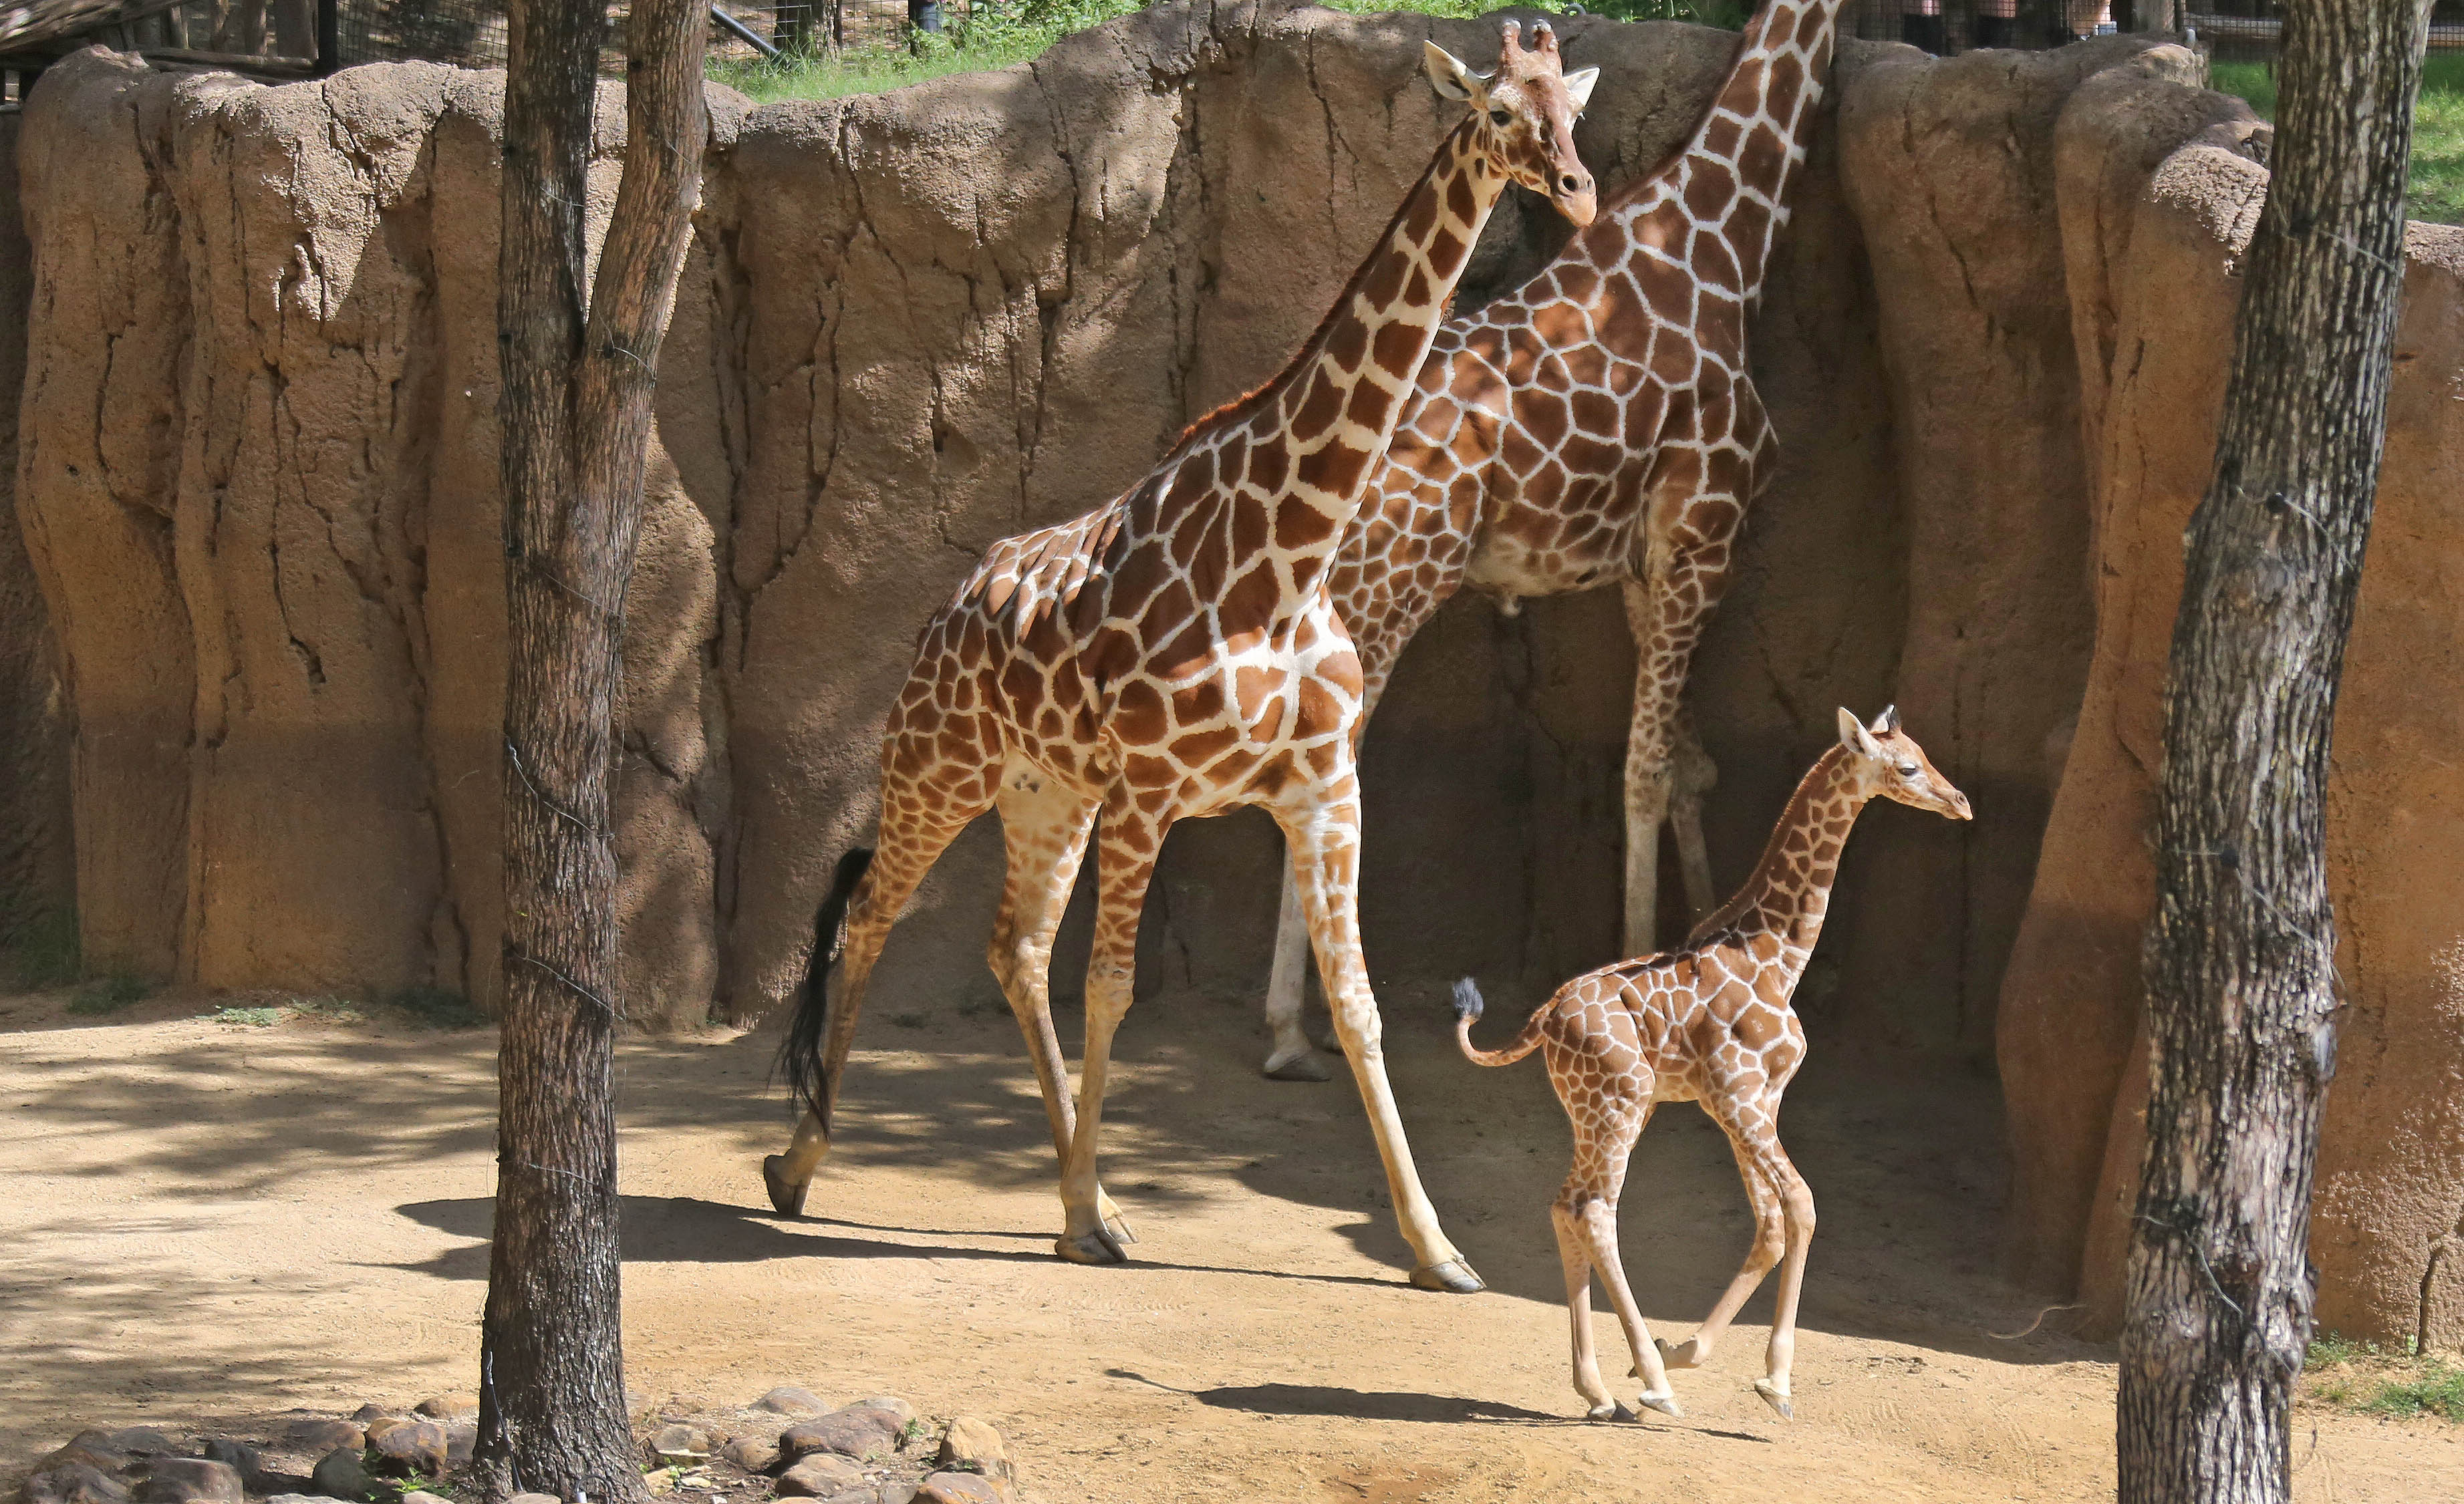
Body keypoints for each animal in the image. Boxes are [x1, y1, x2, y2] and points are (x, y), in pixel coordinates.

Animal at [760, 23, 1601, 1293]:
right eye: (1499, 110)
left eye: (1569, 109)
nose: (1577, 189)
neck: (1289, 553)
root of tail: (950, 604)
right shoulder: (1152, 790)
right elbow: (1114, 987)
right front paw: (1075, 1220)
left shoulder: (1322, 787)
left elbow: (1357, 1005)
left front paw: (1437, 1248)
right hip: (937, 769)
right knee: (871, 919)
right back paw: (804, 1165)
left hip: (1046, 791)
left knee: (1014, 948)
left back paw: (1095, 1188)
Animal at [1259, 0, 1853, 1081]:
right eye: (1497, 108)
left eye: (1568, 113)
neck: (1726, 241)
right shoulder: (1704, 530)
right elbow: (1644, 770)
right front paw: (1638, 964)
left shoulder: (1646, 564)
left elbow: (1689, 768)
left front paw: (1710, 940)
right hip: (1395, 584)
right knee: (1328, 763)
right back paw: (1289, 1027)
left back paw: (1302, 1017)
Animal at [1451, 707, 1971, 1421]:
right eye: (1909, 766)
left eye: (1922, 752)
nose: (1961, 802)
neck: (1778, 953)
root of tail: (1545, 1018)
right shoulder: (1738, 1095)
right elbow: (1802, 1205)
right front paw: (1773, 1381)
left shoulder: (1752, 1100)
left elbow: (1771, 1223)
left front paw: (1686, 1349)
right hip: (1617, 1102)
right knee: (1596, 1212)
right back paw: (1652, 1386)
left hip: (1611, 1108)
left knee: (1567, 1204)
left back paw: (1599, 1389)